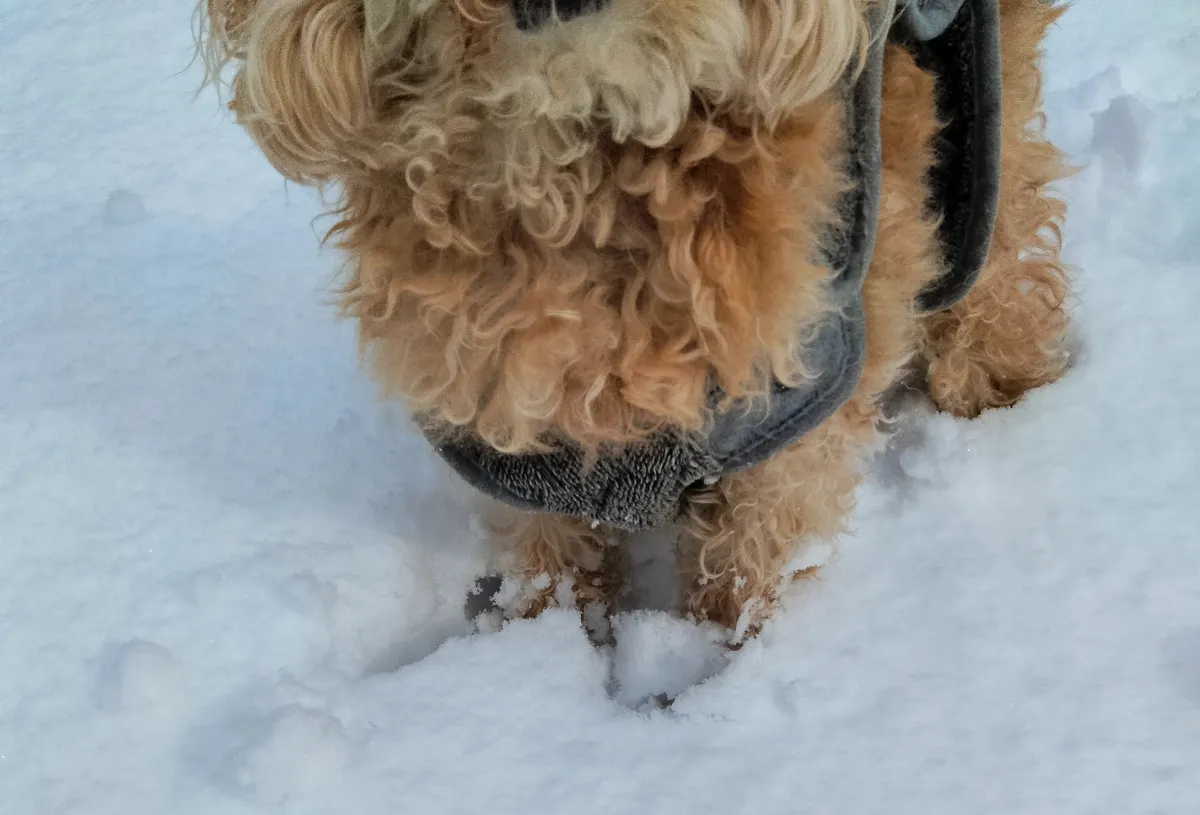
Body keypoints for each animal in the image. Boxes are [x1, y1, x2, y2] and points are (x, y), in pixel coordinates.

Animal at [198, 0, 1072, 641]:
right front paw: (539, 652)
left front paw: (718, 670)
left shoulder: (795, 405)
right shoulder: (511, 437)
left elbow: (752, 559)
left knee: (1001, 246)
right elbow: (546, 559)